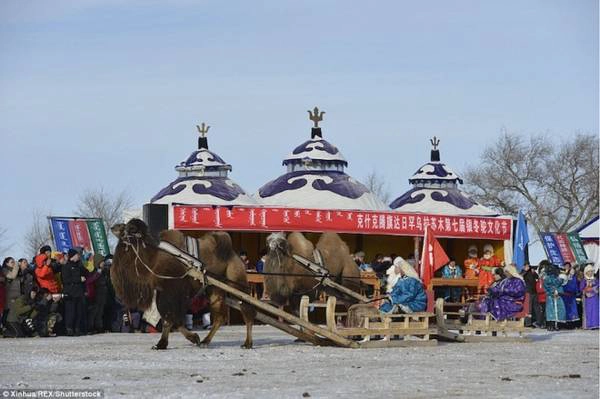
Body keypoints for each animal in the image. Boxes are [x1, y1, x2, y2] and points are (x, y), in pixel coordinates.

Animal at [110, 219, 255, 350]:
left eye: (131, 228)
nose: (113, 227)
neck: (153, 257)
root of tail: (236, 256)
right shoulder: (163, 291)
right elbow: (169, 318)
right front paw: (162, 344)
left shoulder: (174, 291)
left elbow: (170, 318)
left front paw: (190, 338)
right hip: (214, 289)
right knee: (220, 316)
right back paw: (205, 342)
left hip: (236, 281)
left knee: (246, 308)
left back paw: (247, 343)